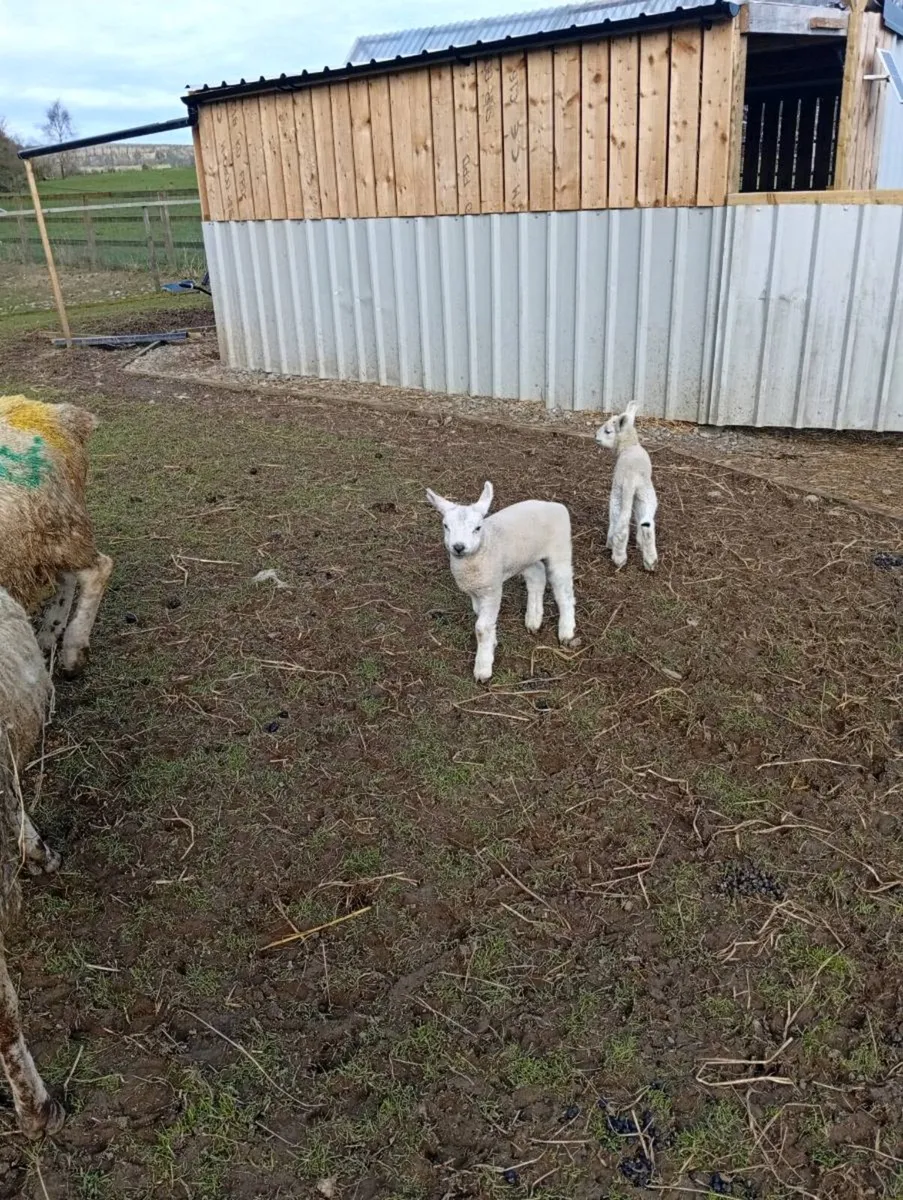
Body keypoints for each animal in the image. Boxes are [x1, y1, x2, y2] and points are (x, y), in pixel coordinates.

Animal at [0, 396, 113, 677]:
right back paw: (49, 634)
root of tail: (58, 415)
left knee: (98, 569)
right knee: (67, 576)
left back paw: (73, 651)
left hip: (56, 523)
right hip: (37, 539)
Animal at [426, 481, 577, 682]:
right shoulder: (476, 590)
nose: (458, 547)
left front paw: (483, 668)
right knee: (537, 575)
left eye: (478, 528)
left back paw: (566, 631)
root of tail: (556, 506)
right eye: (445, 526)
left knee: (564, 592)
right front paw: (493, 641)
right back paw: (533, 619)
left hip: (560, 551)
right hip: (525, 556)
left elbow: (481, 627)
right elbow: (479, 614)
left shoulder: (492, 588)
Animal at [595, 402, 658, 572]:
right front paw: (640, 544)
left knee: (621, 522)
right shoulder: (638, 498)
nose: (596, 437)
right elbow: (638, 516)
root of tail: (632, 477)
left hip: (619, 492)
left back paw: (618, 556)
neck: (629, 445)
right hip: (647, 493)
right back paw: (650, 561)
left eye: (608, 431)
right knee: (647, 524)